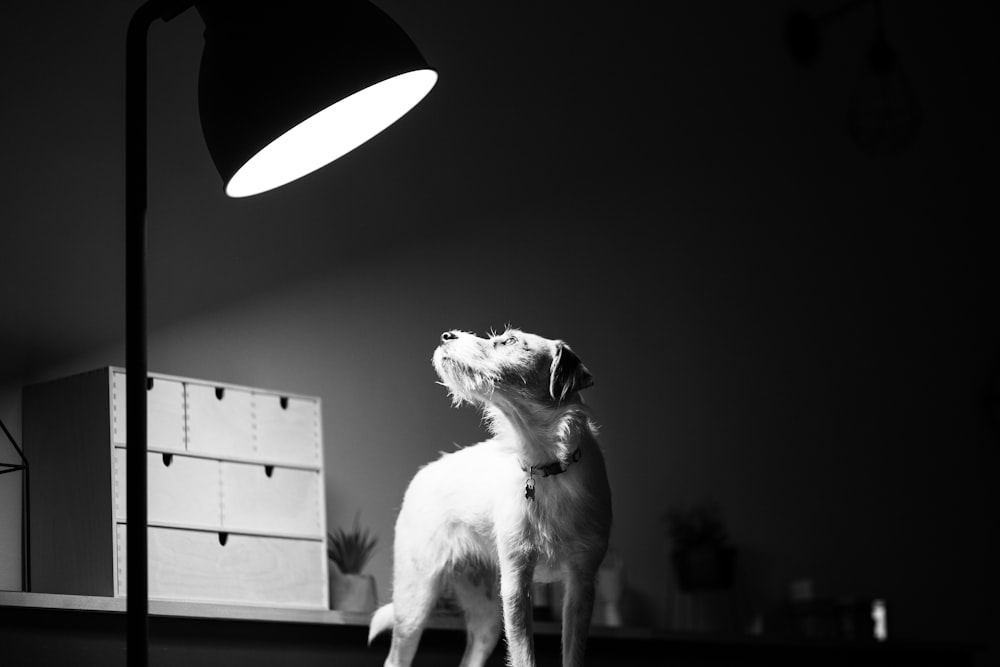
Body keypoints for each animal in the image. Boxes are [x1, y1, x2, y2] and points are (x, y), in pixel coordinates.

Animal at [372, 328, 612, 667]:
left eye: (511, 341)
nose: (447, 335)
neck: (546, 465)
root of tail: (423, 473)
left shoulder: (581, 583)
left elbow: (572, 653)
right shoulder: (516, 582)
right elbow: (524, 656)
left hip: (486, 620)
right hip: (414, 603)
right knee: (396, 657)